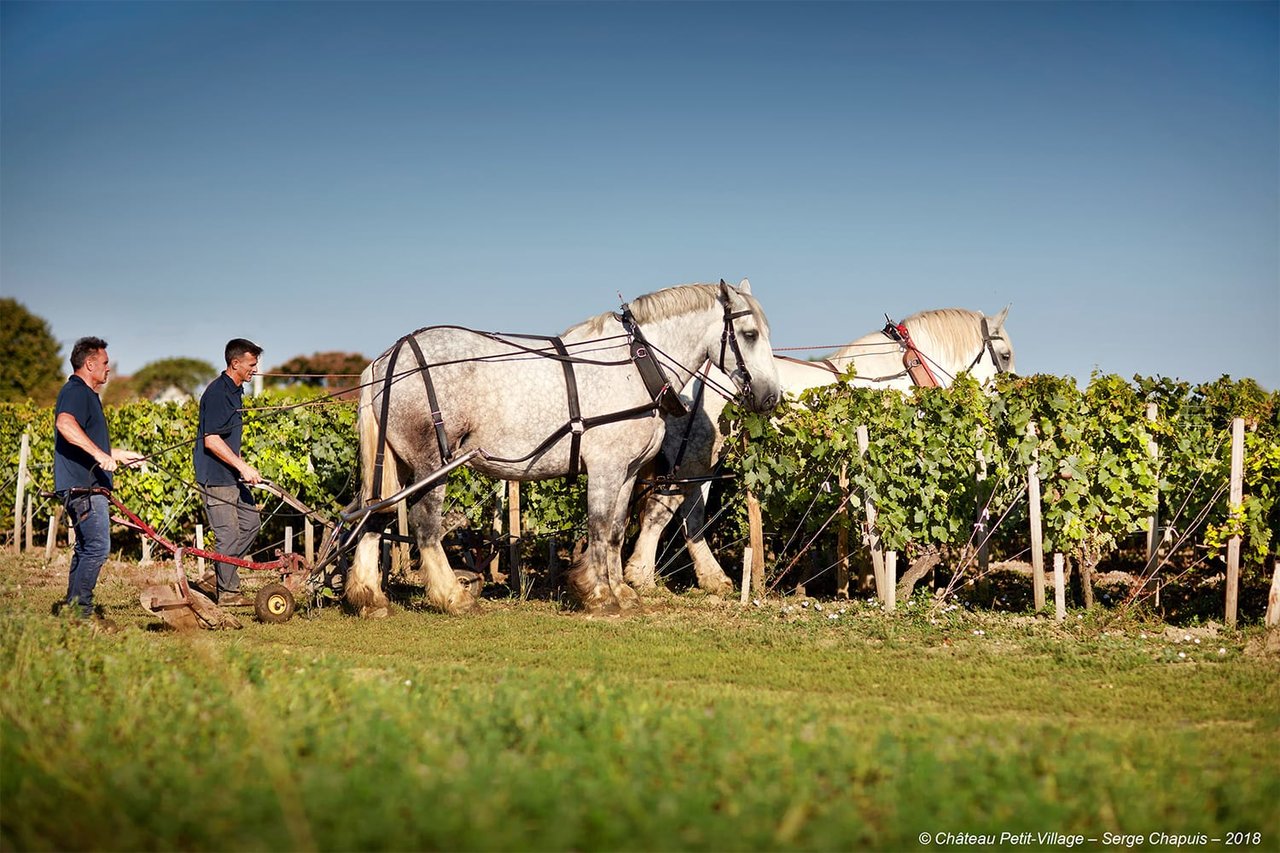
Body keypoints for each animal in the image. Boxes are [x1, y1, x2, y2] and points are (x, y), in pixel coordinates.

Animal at [345, 281, 778, 614]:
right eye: (750, 334)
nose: (771, 396)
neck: (634, 366)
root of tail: (390, 358)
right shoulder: (605, 468)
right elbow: (600, 527)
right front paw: (599, 594)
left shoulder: (627, 472)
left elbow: (616, 531)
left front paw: (620, 592)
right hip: (432, 461)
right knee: (425, 526)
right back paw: (452, 596)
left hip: (396, 463)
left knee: (375, 515)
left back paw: (370, 597)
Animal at [624, 303, 1013, 591]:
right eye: (1006, 355)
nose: (1005, 394)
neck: (903, 370)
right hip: (694, 454)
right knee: (664, 508)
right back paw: (640, 575)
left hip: (703, 459)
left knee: (690, 512)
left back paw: (710, 579)